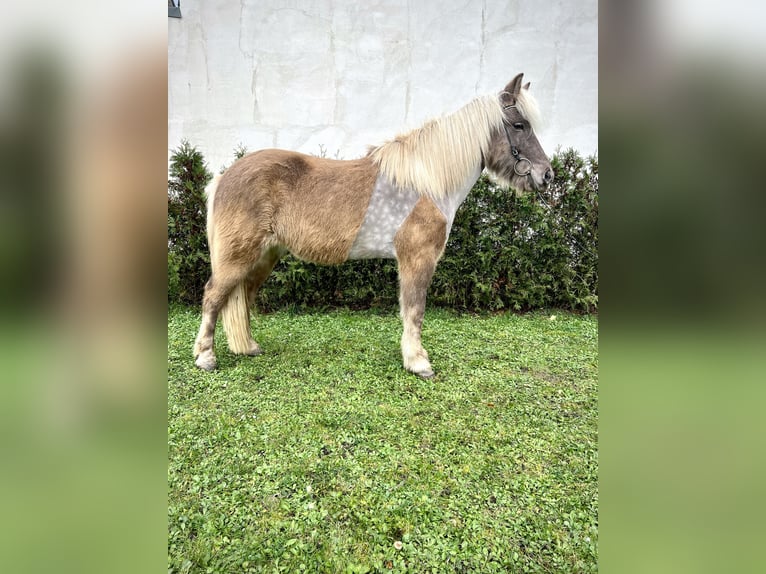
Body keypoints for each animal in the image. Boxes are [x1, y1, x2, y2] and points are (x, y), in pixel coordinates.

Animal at [192, 74, 552, 380]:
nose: (546, 174)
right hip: (238, 256)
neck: (427, 181)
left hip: (264, 257)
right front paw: (418, 362)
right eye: (519, 125)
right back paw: (206, 357)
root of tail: (224, 177)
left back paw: (249, 347)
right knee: (213, 296)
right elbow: (415, 310)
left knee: (242, 297)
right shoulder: (417, 259)